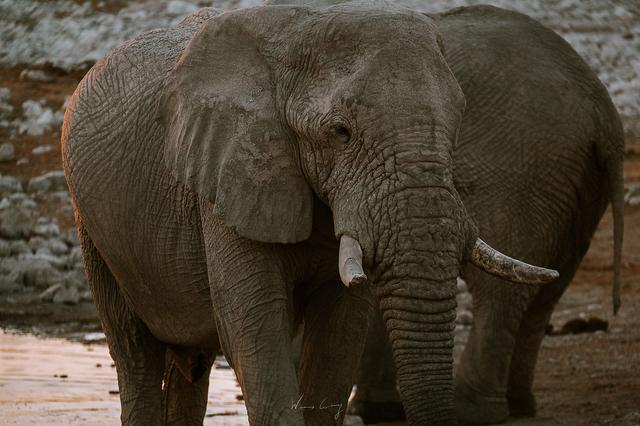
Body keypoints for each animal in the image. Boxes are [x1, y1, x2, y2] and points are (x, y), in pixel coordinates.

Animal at [62, 3, 564, 426]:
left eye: (458, 123)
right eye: (340, 132)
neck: (298, 29)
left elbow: (340, 334)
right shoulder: (231, 172)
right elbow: (254, 326)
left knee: (192, 368)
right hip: (93, 226)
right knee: (135, 354)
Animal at [344, 1, 624, 424]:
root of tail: (601, 108)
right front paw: (378, 410)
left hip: (520, 170)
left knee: (501, 290)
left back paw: (474, 410)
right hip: (574, 182)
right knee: (547, 287)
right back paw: (519, 405)